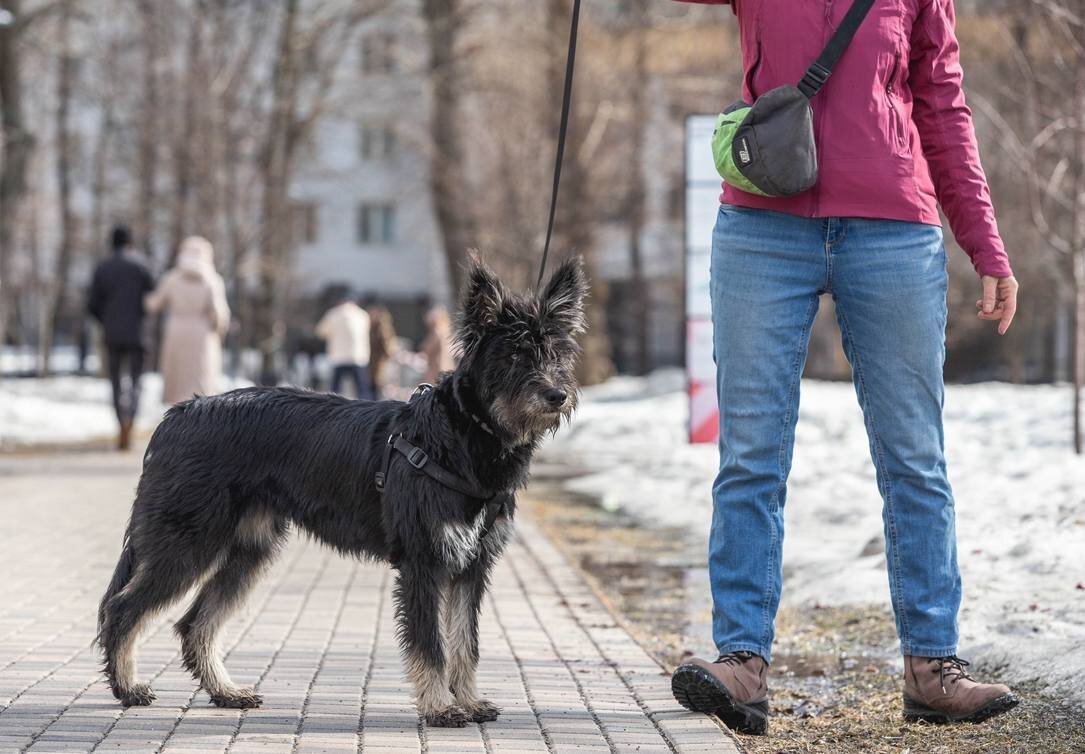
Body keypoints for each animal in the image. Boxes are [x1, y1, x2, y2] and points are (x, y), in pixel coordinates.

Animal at [98, 257, 590, 729]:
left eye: (558, 352)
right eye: (515, 353)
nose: (556, 395)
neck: (461, 436)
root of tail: (179, 414)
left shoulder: (470, 568)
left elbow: (464, 643)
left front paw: (467, 700)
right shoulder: (424, 563)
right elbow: (431, 644)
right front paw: (440, 708)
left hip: (246, 552)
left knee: (195, 624)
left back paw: (225, 691)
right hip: (188, 543)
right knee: (123, 609)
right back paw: (129, 687)